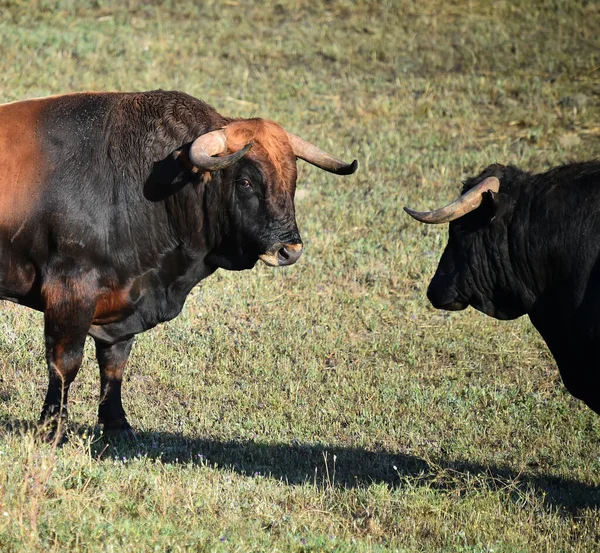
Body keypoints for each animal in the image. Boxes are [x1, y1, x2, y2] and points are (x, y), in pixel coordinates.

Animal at [0, 89, 356, 436]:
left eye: (292, 179)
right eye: (245, 182)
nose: (289, 249)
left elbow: (114, 363)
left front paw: (117, 425)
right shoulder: (70, 292)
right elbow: (65, 365)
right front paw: (51, 429)